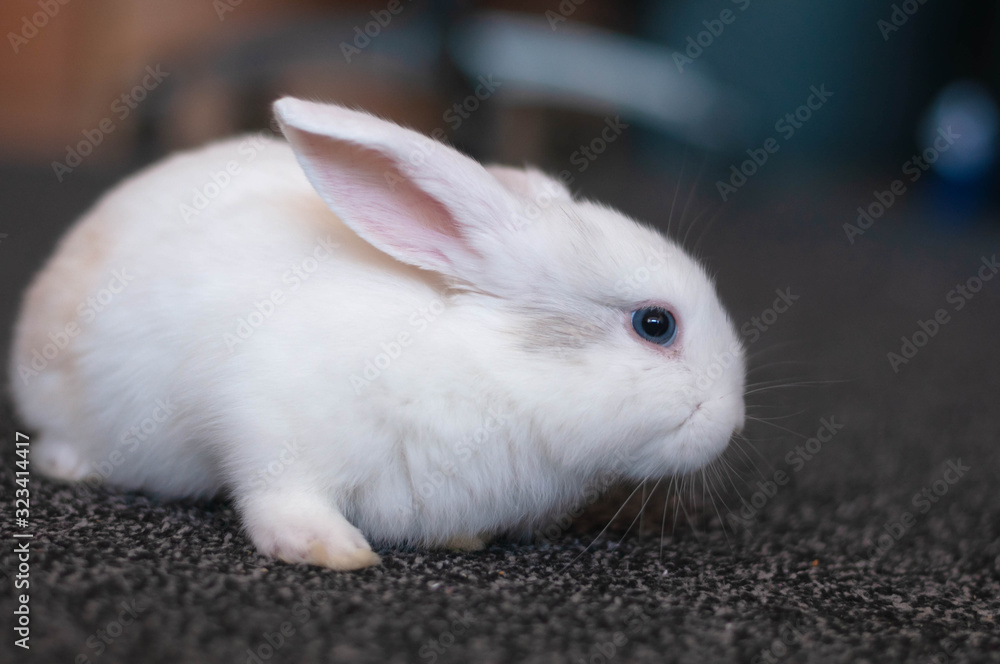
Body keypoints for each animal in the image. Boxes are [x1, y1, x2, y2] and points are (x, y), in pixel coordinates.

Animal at [7, 98, 744, 572]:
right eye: (655, 324)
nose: (732, 420)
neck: (490, 366)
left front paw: (461, 542)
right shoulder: (265, 419)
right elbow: (280, 496)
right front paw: (331, 551)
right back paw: (70, 464)